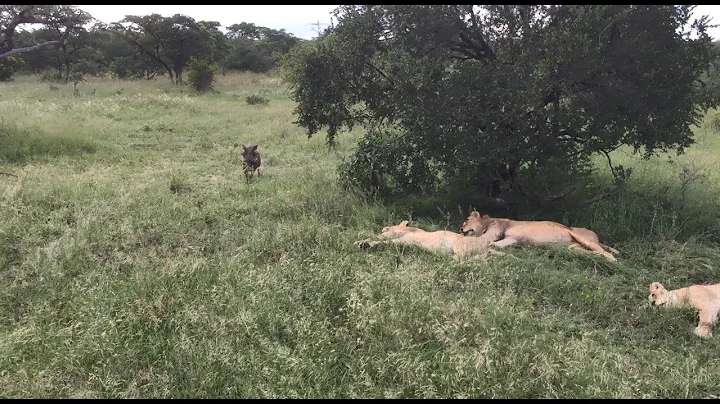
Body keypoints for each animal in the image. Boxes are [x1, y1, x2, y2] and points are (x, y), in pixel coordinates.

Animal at [355, 220, 505, 260]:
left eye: (389, 226)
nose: (383, 228)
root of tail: (488, 246)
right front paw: (361, 241)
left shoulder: (404, 241)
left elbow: (383, 241)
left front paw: (364, 243)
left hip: (459, 246)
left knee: (463, 261)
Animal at [458, 211, 619, 262]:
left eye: (466, 219)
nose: (460, 229)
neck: (488, 221)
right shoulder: (511, 239)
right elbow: (495, 245)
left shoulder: (494, 233)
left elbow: (481, 240)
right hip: (574, 248)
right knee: (594, 252)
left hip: (579, 236)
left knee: (604, 252)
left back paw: (613, 260)